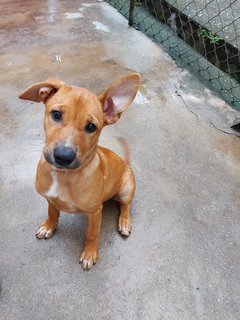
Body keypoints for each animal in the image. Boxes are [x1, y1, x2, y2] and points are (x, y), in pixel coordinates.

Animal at [19, 74, 141, 268]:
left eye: (91, 127)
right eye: (56, 114)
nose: (63, 156)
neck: (63, 176)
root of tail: (126, 164)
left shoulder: (95, 213)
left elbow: (92, 234)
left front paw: (89, 254)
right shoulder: (50, 199)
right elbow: (52, 213)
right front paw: (48, 227)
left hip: (126, 189)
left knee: (125, 205)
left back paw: (124, 222)